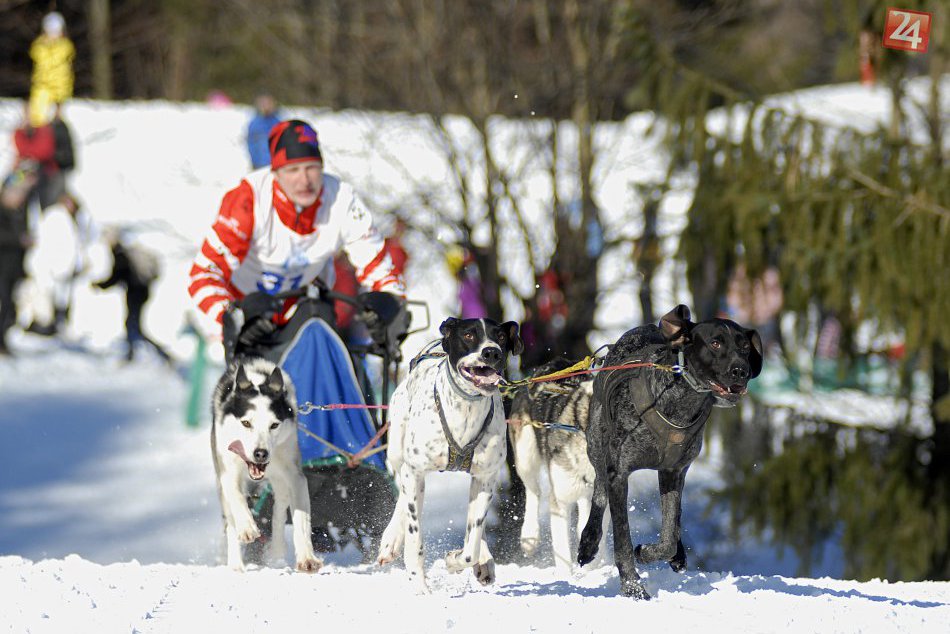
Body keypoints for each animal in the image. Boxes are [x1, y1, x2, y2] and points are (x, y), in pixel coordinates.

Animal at [212, 356, 324, 572]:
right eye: (246, 423)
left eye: (274, 425)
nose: (261, 454)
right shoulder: (228, 471)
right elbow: (237, 498)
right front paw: (247, 527)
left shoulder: (294, 475)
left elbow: (300, 518)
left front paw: (306, 556)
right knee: (230, 520)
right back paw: (235, 563)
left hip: (280, 480)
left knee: (279, 508)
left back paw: (277, 549)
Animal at [378, 318, 524, 592]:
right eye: (468, 335)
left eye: (500, 336)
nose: (491, 352)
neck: (466, 410)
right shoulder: (415, 471)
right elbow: (414, 534)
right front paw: (419, 584)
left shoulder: (486, 477)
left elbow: (471, 545)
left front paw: (456, 560)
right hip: (397, 453)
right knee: (402, 492)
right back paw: (391, 539)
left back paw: (485, 559)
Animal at [572, 304, 768, 596]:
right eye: (715, 342)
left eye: (744, 346)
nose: (740, 370)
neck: (680, 402)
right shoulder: (619, 473)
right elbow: (622, 536)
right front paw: (632, 587)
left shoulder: (673, 472)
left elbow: (668, 534)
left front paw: (649, 552)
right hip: (596, 443)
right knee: (598, 489)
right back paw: (589, 541)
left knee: (674, 522)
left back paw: (679, 553)